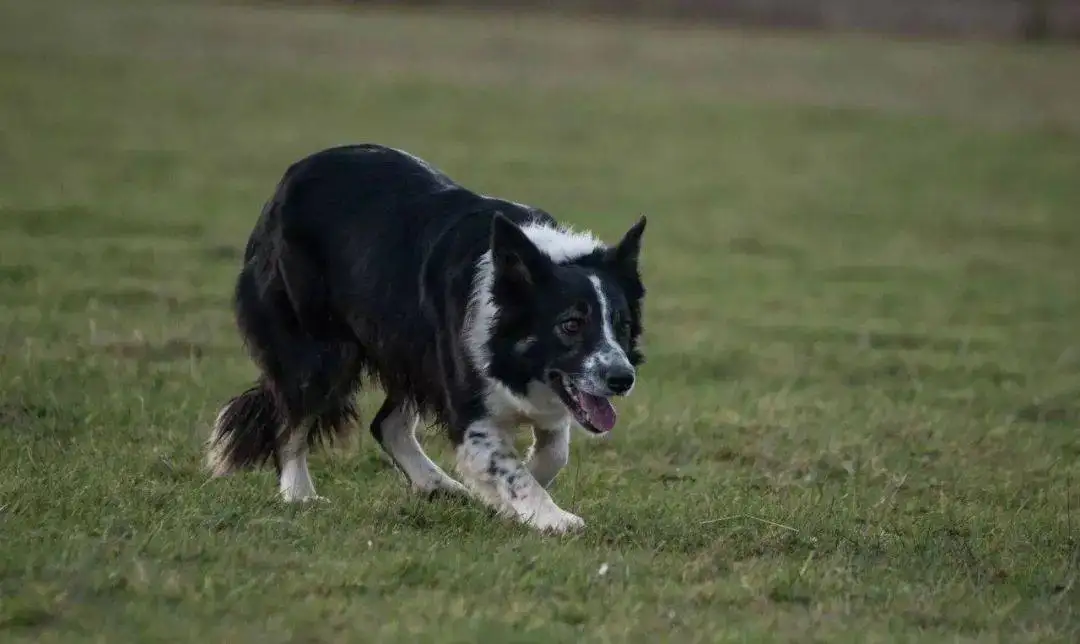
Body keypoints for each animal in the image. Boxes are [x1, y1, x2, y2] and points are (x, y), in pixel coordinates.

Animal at [206, 144, 643, 533]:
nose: (623, 379)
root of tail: (290, 177)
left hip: (410, 350)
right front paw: (552, 517)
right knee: (291, 421)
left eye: (622, 325)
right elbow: (508, 467)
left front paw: (507, 503)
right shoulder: (468, 405)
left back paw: (437, 486)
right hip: (320, 352)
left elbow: (552, 452)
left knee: (386, 424)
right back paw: (299, 494)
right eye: (571, 325)